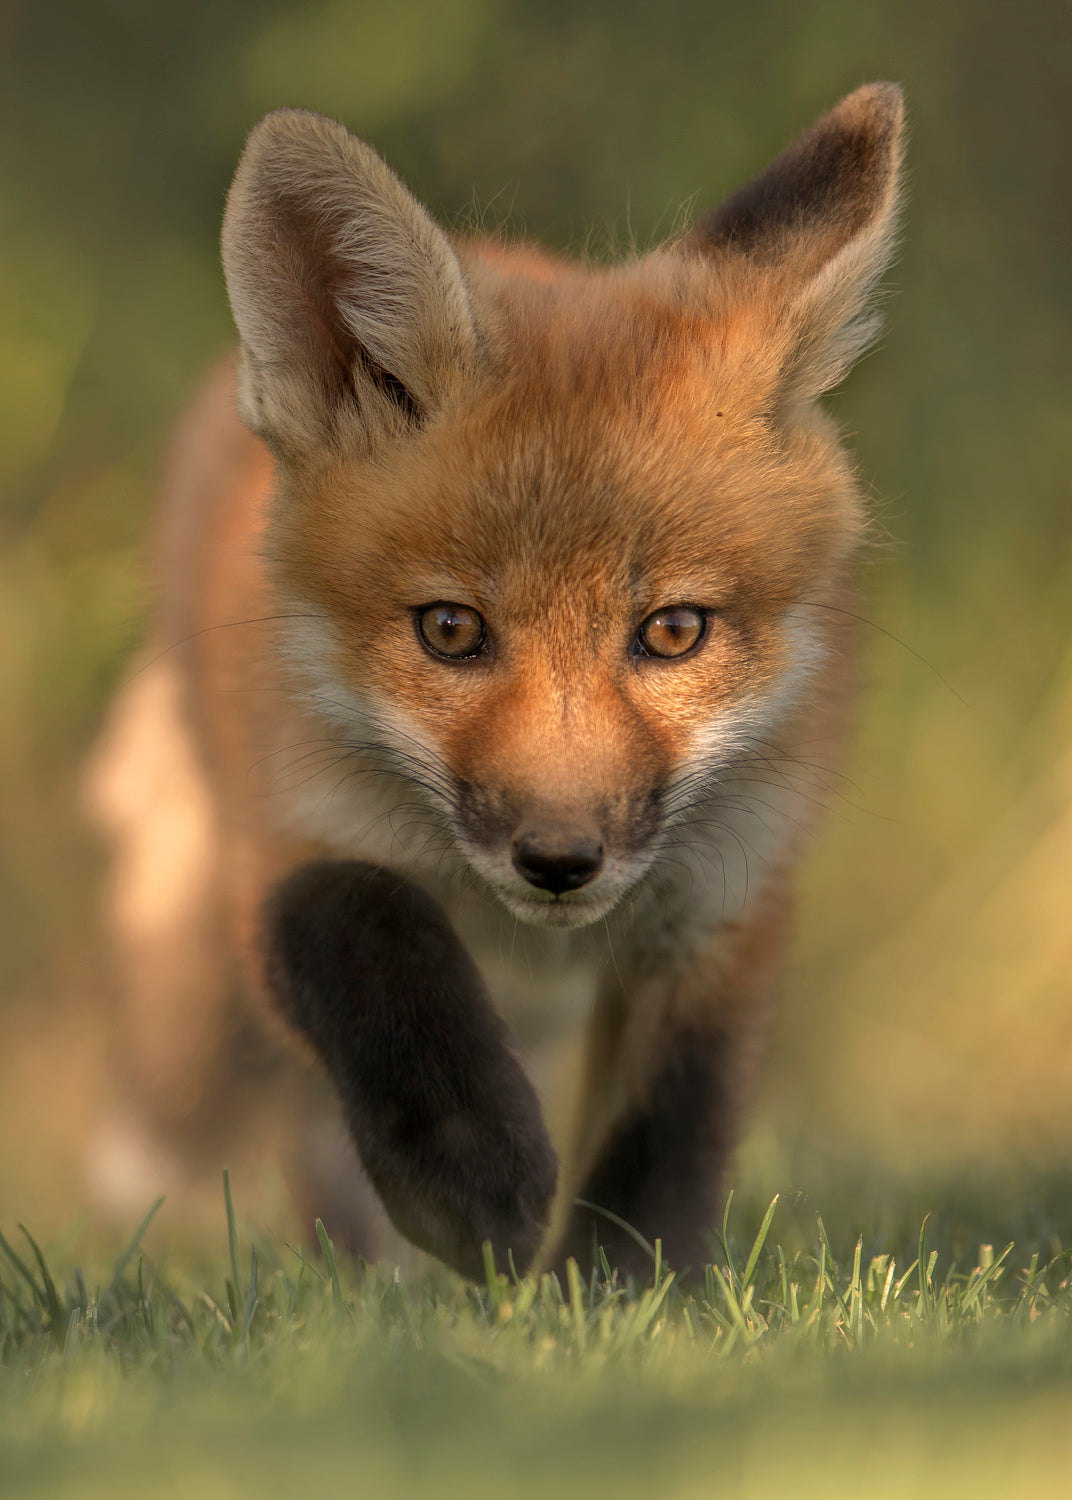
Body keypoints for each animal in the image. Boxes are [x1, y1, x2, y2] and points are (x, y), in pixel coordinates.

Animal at [85, 83, 905, 1280]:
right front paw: (474, 1184)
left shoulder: (724, 904)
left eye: (672, 632)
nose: (559, 860)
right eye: (450, 630)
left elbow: (668, 1128)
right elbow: (365, 928)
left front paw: (625, 1293)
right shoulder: (284, 838)